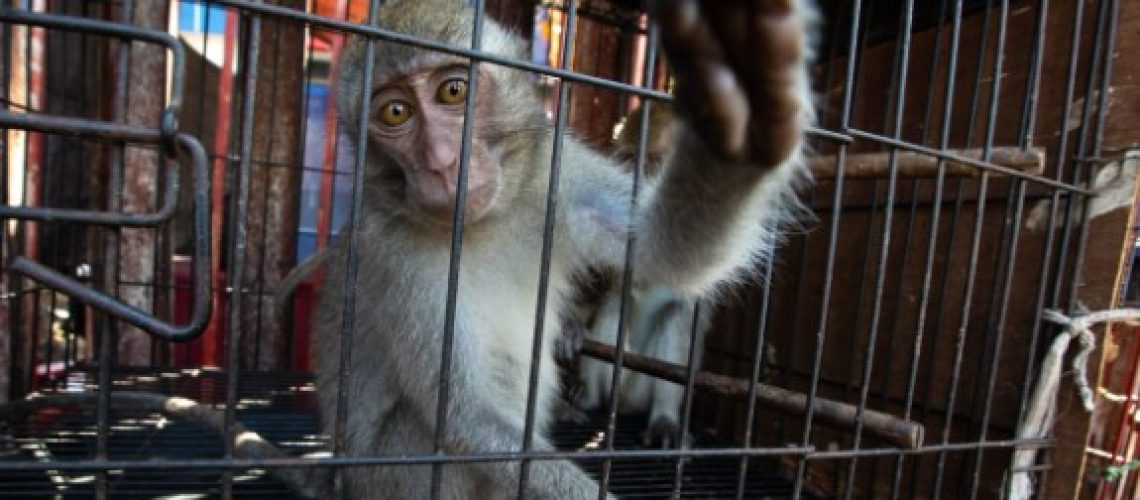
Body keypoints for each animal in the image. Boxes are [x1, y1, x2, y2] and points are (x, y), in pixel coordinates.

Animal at [313, 0, 816, 498]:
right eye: (395, 113)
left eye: (453, 91)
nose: (441, 162)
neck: (487, 221)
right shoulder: (394, 259)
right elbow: (464, 417)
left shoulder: (559, 175)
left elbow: (663, 251)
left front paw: (754, 107)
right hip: (384, 478)